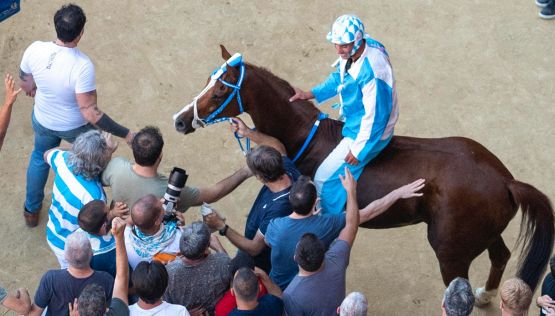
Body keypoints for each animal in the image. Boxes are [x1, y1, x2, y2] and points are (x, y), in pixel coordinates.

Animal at [175, 46, 555, 304]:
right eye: (207, 80)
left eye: (221, 90)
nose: (180, 120)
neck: (303, 136)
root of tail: (506, 180)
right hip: (480, 235)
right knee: (500, 255)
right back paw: (487, 296)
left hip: (451, 253)